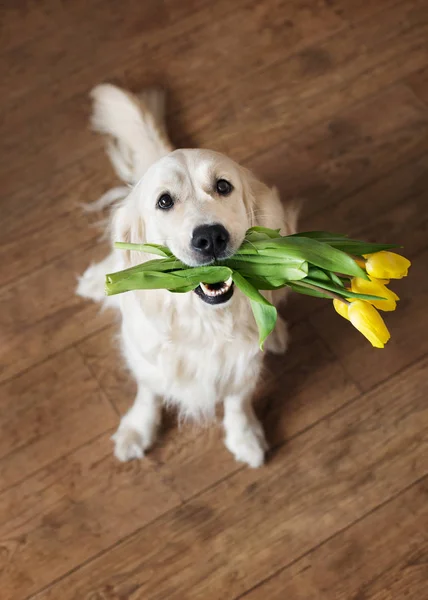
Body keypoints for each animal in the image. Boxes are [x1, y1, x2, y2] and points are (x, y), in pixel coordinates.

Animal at [77, 85, 298, 468]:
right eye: (164, 201)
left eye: (223, 186)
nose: (210, 237)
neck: (204, 321)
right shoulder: (148, 355)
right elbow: (149, 391)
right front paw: (138, 429)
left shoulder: (242, 363)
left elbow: (238, 399)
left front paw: (245, 437)